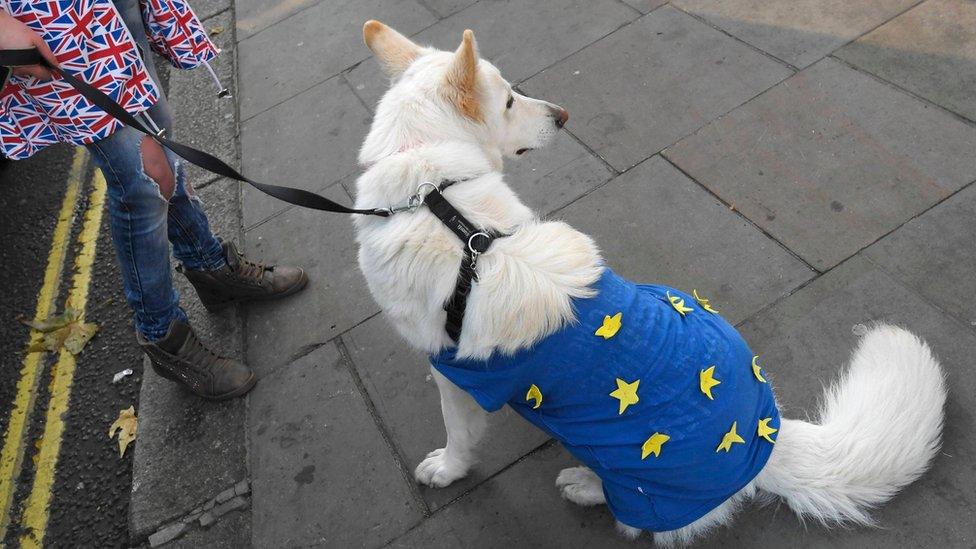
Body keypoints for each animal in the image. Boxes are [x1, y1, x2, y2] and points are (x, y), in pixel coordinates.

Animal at [354, 20, 948, 544]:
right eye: (507, 102)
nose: (563, 115)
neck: (434, 194)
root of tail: (765, 443)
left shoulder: (457, 374)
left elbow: (458, 436)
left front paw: (446, 469)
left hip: (622, 449)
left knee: (638, 517)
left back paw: (585, 485)